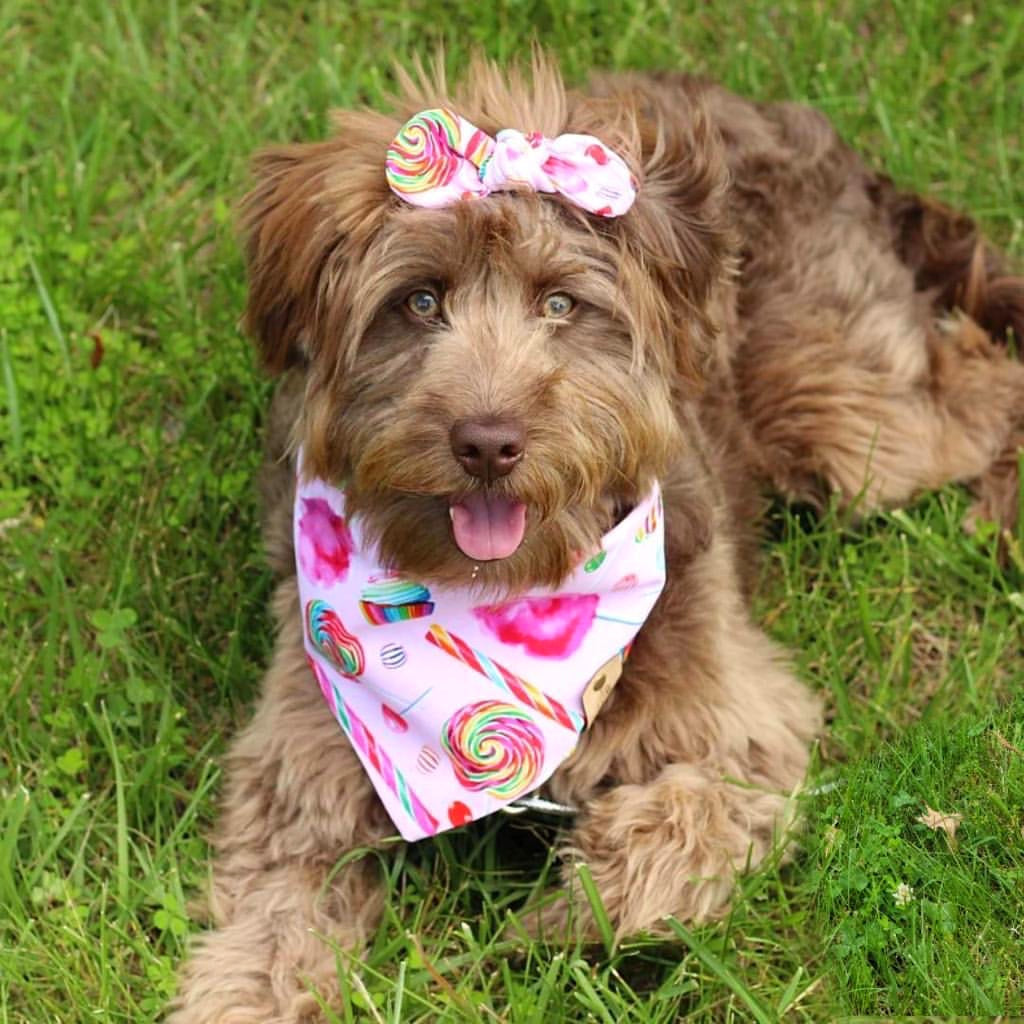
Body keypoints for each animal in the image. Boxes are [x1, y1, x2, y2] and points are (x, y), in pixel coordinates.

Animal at [169, 56, 1024, 1024]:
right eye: (419, 300)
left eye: (560, 302)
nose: (488, 442)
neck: (497, 599)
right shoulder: (301, 762)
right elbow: (272, 917)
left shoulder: (736, 731)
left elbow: (677, 826)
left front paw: (548, 931)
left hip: (844, 414)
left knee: (983, 384)